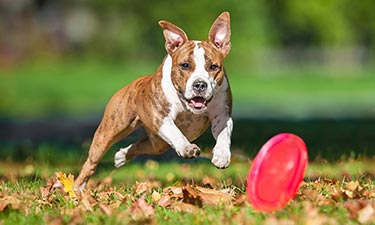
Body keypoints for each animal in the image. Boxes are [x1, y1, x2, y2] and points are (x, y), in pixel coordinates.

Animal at [74, 11, 232, 189]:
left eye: (213, 67)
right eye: (184, 65)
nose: (200, 84)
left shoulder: (222, 115)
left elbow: (223, 134)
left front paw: (222, 155)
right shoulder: (161, 117)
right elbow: (176, 133)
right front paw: (186, 148)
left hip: (158, 144)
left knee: (140, 145)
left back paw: (121, 156)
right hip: (108, 132)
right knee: (91, 162)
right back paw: (77, 188)